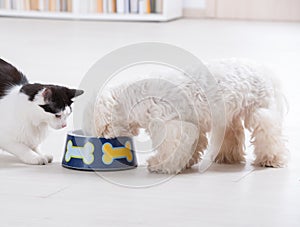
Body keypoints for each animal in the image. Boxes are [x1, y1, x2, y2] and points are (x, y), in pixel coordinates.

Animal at [85, 58, 288, 174]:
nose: (98, 139)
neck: (133, 99)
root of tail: (265, 70)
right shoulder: (192, 123)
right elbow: (192, 146)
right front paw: (187, 162)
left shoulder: (171, 126)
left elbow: (171, 149)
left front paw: (159, 165)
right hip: (228, 114)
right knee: (233, 132)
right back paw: (226, 157)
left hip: (260, 110)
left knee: (269, 133)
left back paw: (271, 159)